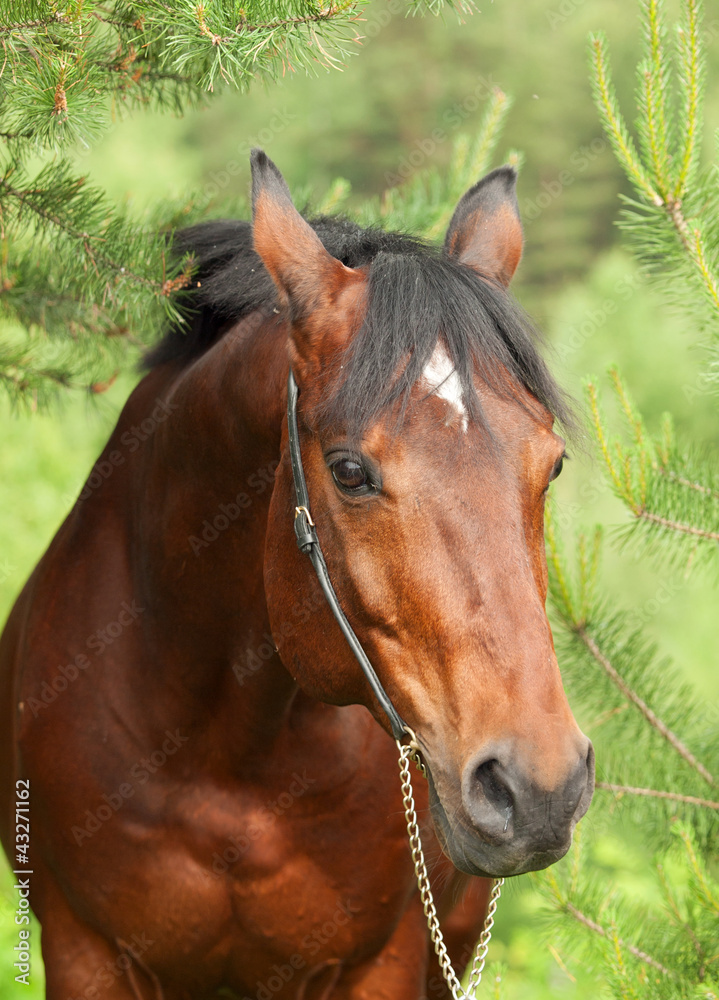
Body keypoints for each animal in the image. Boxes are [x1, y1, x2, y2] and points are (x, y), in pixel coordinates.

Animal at [0, 150, 594, 1000]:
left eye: (551, 465)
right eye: (348, 472)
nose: (540, 787)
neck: (228, 759)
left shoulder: (380, 963)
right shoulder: (85, 956)